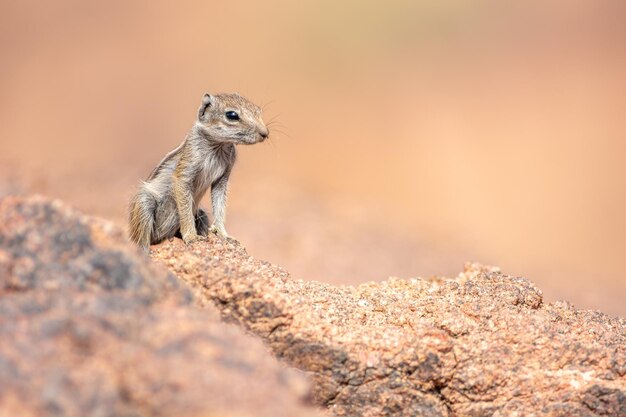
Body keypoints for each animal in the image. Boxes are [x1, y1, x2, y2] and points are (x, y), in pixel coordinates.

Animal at [128, 92, 266, 249]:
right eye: (232, 115)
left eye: (258, 110)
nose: (265, 133)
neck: (219, 145)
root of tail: (162, 237)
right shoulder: (185, 170)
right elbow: (185, 208)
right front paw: (192, 237)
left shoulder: (223, 177)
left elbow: (220, 205)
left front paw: (223, 234)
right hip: (144, 204)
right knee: (142, 239)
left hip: (201, 213)